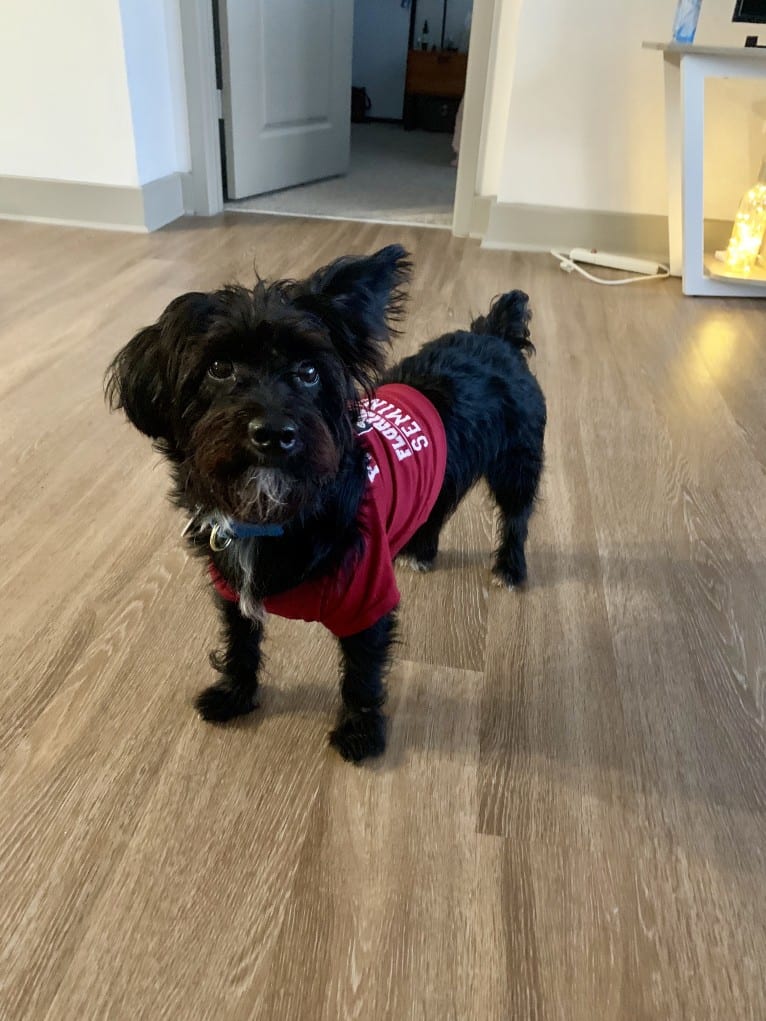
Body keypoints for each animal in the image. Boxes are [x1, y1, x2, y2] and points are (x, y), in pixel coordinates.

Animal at [108, 245, 547, 759]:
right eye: (218, 368)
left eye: (310, 372)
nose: (274, 433)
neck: (276, 514)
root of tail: (496, 335)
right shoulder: (233, 593)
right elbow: (240, 644)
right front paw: (234, 695)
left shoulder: (368, 600)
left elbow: (361, 674)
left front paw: (360, 731)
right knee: (438, 507)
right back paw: (420, 551)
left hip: (517, 464)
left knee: (516, 519)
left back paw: (509, 568)